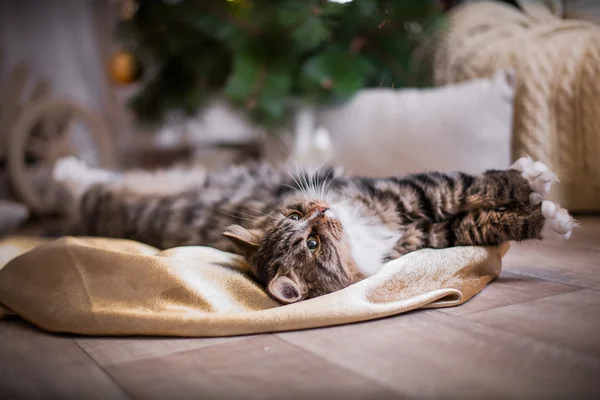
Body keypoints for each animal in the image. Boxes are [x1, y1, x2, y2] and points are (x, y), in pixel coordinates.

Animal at [54, 156, 576, 304]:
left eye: (294, 217)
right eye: (311, 241)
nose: (321, 209)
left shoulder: (412, 200)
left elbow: (480, 187)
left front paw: (534, 179)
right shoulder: (422, 219)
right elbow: (483, 211)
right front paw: (548, 212)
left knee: (103, 178)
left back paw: (72, 166)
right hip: (105, 201)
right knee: (85, 190)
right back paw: (65, 172)